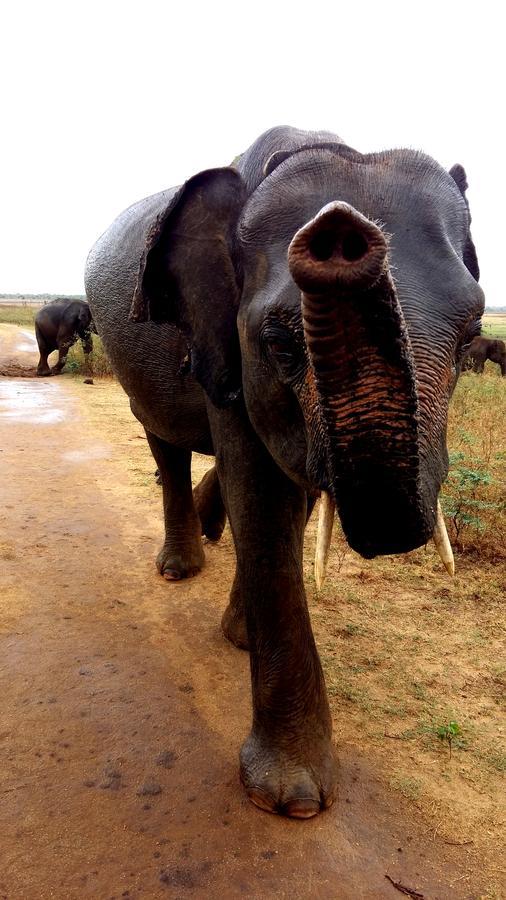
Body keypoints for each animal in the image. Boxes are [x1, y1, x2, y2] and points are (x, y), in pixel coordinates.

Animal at [85, 126, 484, 824]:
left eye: (471, 338)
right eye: (278, 346)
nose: (340, 230)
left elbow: (288, 492)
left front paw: (240, 637)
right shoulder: (219, 334)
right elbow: (262, 496)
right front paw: (294, 800)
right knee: (164, 442)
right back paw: (179, 567)